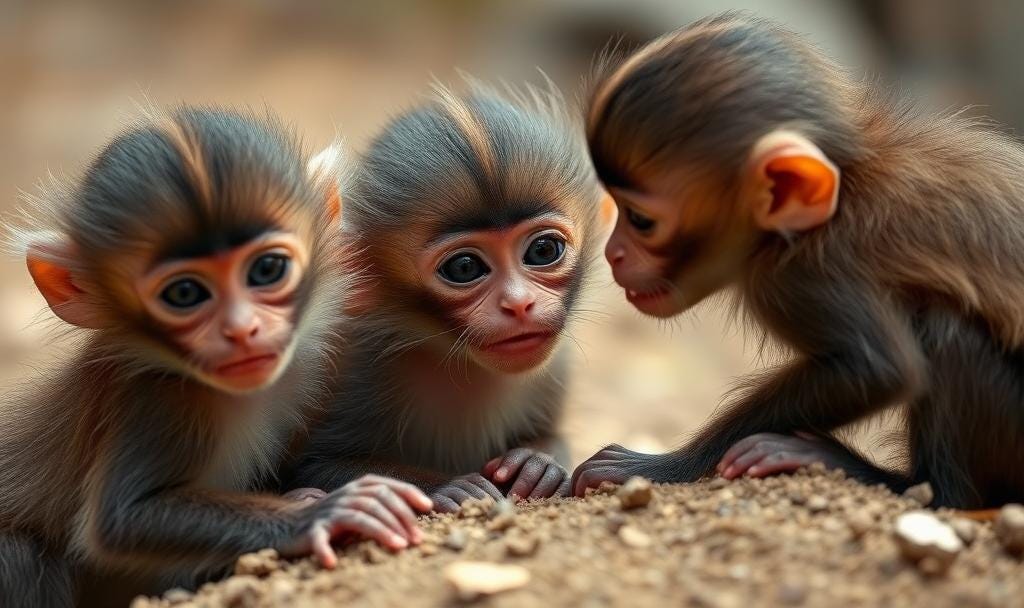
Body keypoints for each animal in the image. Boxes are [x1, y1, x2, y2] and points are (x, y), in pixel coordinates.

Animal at [0, 106, 432, 607]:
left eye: (267, 269)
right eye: (185, 293)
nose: (241, 330)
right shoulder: (158, 398)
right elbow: (121, 519)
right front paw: (319, 514)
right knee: (19, 555)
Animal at [287, 81, 605, 512]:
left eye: (543, 250)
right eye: (465, 267)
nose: (519, 303)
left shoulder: (555, 367)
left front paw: (538, 462)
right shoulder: (350, 364)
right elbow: (314, 465)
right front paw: (448, 486)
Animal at [570, 12, 1024, 509]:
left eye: (640, 220)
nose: (612, 253)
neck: (846, 186)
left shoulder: (796, 276)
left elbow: (876, 367)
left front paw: (665, 466)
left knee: (946, 333)